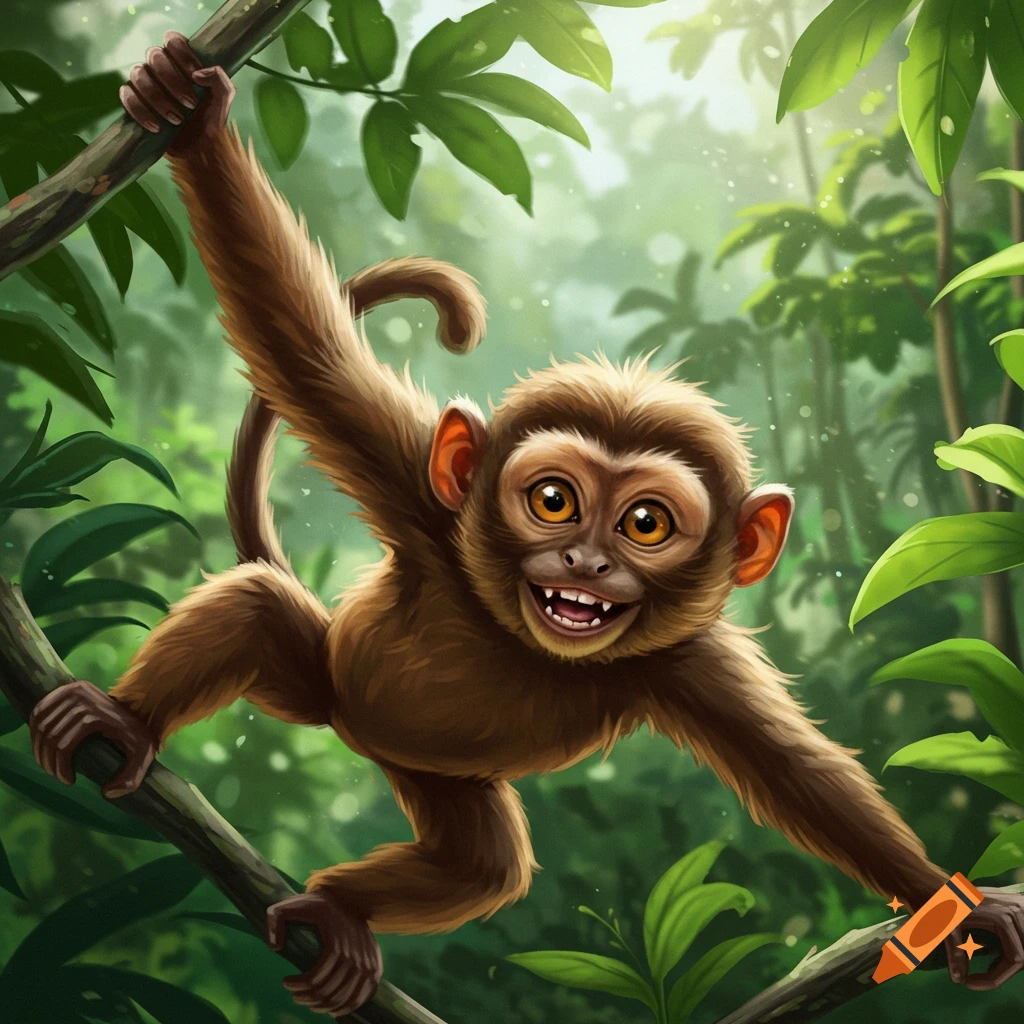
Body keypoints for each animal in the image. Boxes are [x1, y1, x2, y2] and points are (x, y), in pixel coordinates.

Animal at [28, 32, 1024, 1017]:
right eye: (553, 502)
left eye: (646, 524)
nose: (582, 562)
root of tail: (355, 731)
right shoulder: (423, 498)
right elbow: (305, 351)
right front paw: (190, 117)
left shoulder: (690, 663)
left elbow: (798, 778)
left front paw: (950, 904)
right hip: (321, 677)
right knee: (258, 612)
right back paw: (124, 723)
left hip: (432, 776)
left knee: (484, 867)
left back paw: (342, 914)